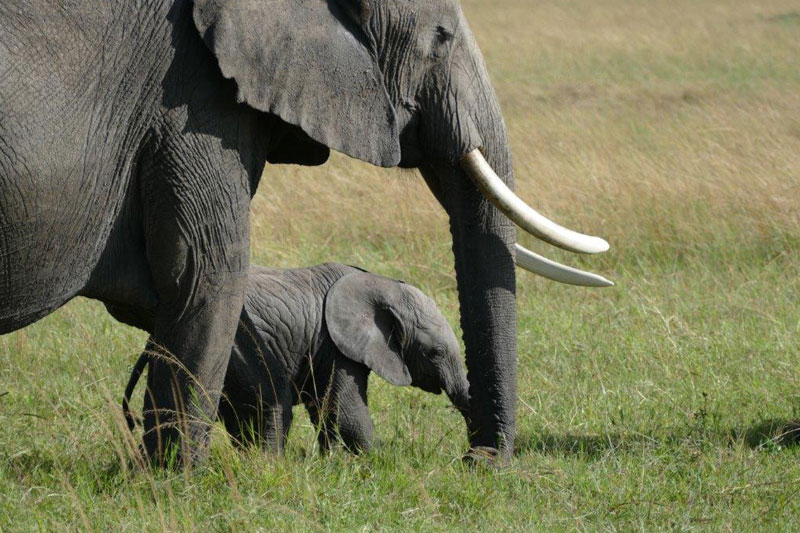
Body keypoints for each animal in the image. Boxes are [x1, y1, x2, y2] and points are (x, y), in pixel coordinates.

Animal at [120, 263, 470, 453]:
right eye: (436, 353)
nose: (468, 459)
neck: (381, 284)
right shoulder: (335, 343)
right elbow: (346, 411)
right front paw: (378, 462)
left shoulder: (324, 345)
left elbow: (324, 408)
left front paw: (333, 462)